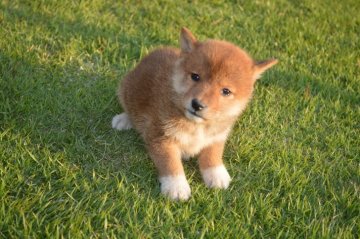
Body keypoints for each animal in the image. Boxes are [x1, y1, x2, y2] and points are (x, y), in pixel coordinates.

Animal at [112, 27, 278, 200]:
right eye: (195, 76)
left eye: (226, 91)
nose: (197, 105)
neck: (197, 126)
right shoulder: (160, 136)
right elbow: (170, 163)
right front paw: (176, 186)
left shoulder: (216, 136)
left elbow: (213, 154)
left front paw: (216, 174)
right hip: (126, 87)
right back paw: (123, 120)